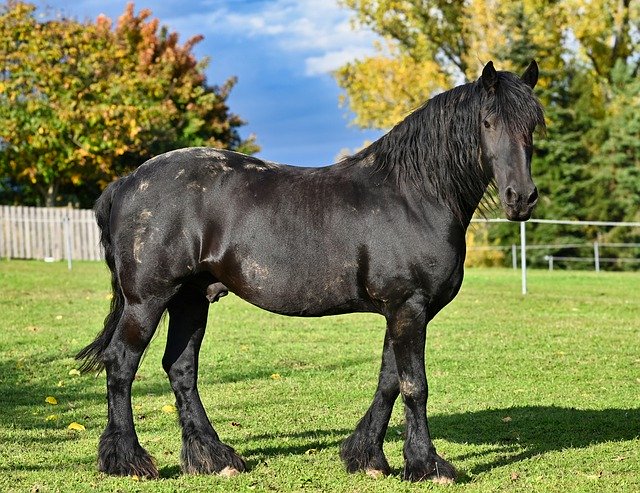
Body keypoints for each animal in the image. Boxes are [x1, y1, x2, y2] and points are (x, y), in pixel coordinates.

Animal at [76, 60, 544, 480]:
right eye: (487, 122)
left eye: (533, 126)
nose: (520, 198)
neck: (414, 195)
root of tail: (128, 182)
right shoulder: (409, 306)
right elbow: (415, 385)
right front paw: (427, 465)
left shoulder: (402, 311)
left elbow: (389, 381)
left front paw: (367, 457)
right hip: (147, 301)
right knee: (121, 365)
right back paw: (128, 461)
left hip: (191, 299)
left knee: (180, 370)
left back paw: (215, 459)